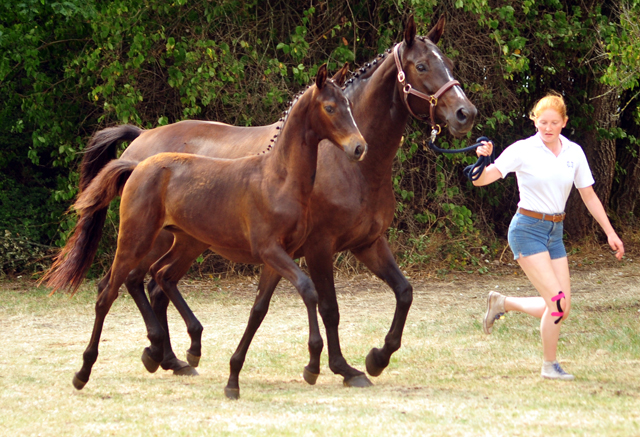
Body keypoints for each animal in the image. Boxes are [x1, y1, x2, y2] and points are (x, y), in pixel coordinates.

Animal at [45, 64, 364, 396]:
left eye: (349, 105)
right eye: (330, 108)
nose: (359, 147)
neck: (279, 179)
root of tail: (137, 166)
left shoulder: (279, 256)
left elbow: (259, 309)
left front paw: (235, 376)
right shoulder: (271, 250)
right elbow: (308, 289)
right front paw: (313, 363)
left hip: (184, 242)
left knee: (159, 277)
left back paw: (175, 352)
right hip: (136, 239)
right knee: (108, 292)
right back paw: (85, 371)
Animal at [75, 14, 476, 388]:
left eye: (448, 63)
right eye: (421, 66)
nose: (465, 114)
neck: (352, 166)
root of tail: (140, 143)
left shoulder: (368, 243)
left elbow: (404, 292)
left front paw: (378, 357)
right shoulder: (319, 247)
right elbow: (330, 308)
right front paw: (342, 368)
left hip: (188, 241)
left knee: (157, 284)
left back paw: (173, 356)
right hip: (150, 238)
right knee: (131, 282)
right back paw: (153, 352)